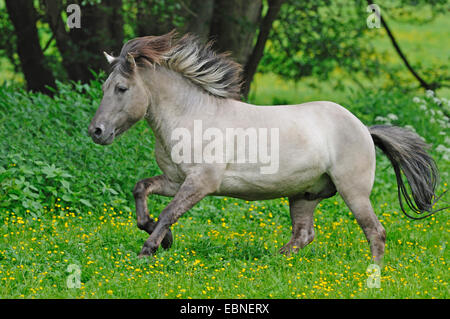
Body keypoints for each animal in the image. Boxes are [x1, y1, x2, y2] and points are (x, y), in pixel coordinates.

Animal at [89, 31, 442, 264]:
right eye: (105, 86)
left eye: (121, 88)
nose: (96, 131)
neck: (193, 116)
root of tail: (364, 129)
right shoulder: (176, 180)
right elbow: (142, 190)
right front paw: (162, 239)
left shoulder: (201, 183)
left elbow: (168, 212)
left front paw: (149, 249)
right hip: (305, 194)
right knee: (303, 235)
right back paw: (274, 260)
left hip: (353, 191)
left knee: (375, 231)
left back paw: (372, 273)